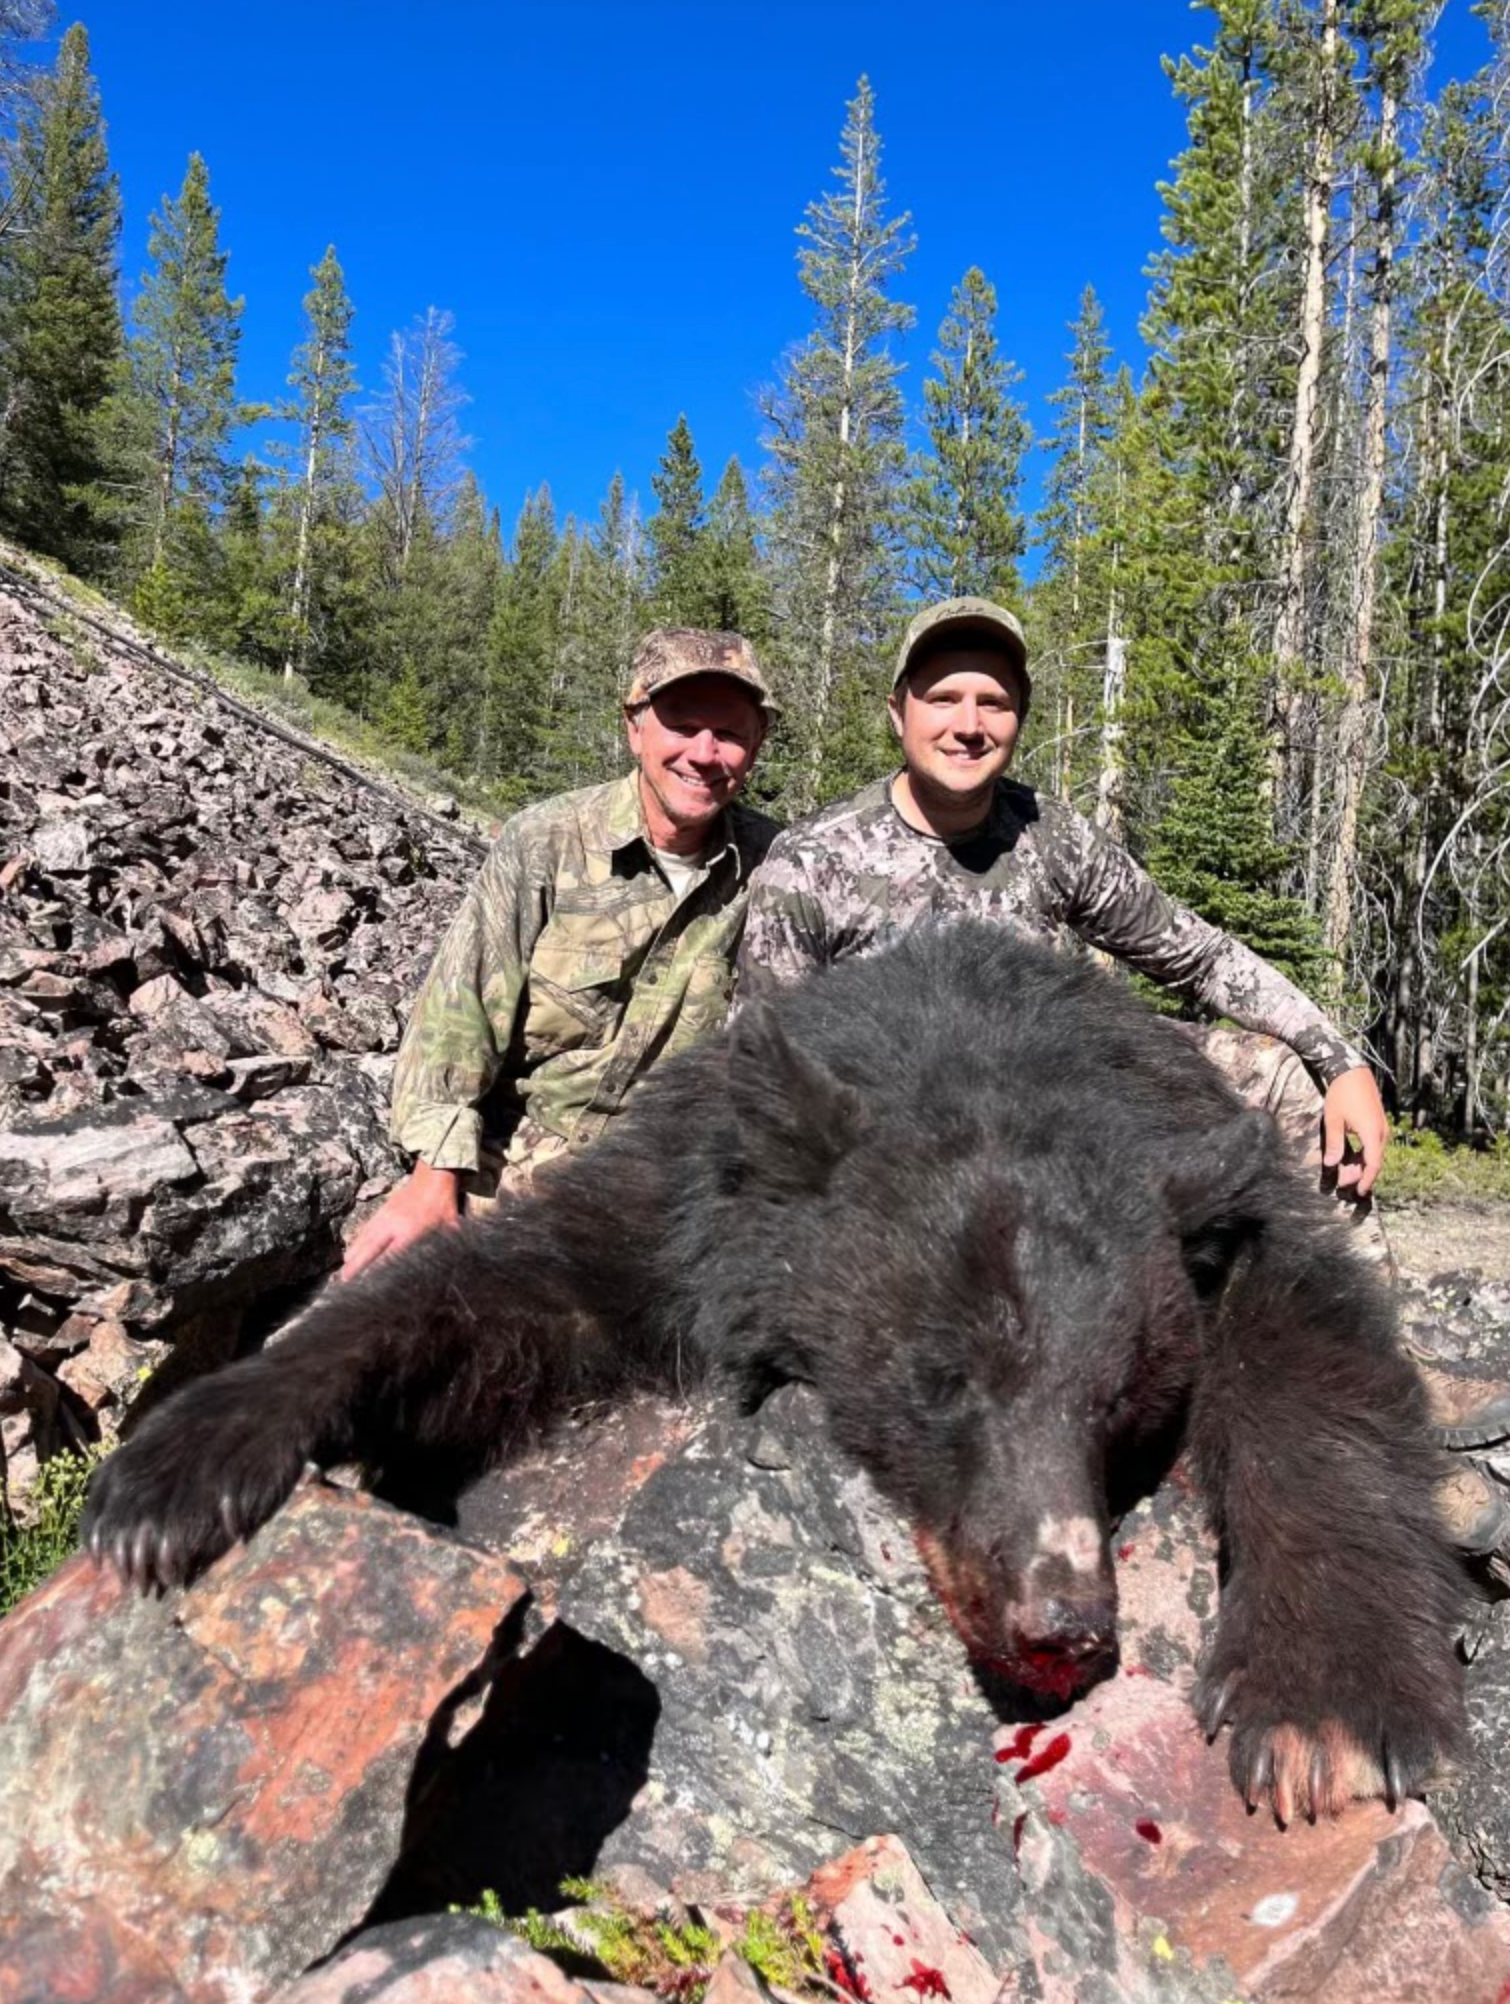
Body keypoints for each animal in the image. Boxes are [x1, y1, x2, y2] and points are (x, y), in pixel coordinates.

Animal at [84, 921, 1465, 1826]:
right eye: (939, 1379)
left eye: (1121, 1406)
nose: (1063, 1624)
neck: (991, 1058)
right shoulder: (691, 1201)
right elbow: (505, 1285)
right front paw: (179, 1472)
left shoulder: (1213, 1205)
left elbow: (1310, 1364)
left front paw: (1326, 1708)